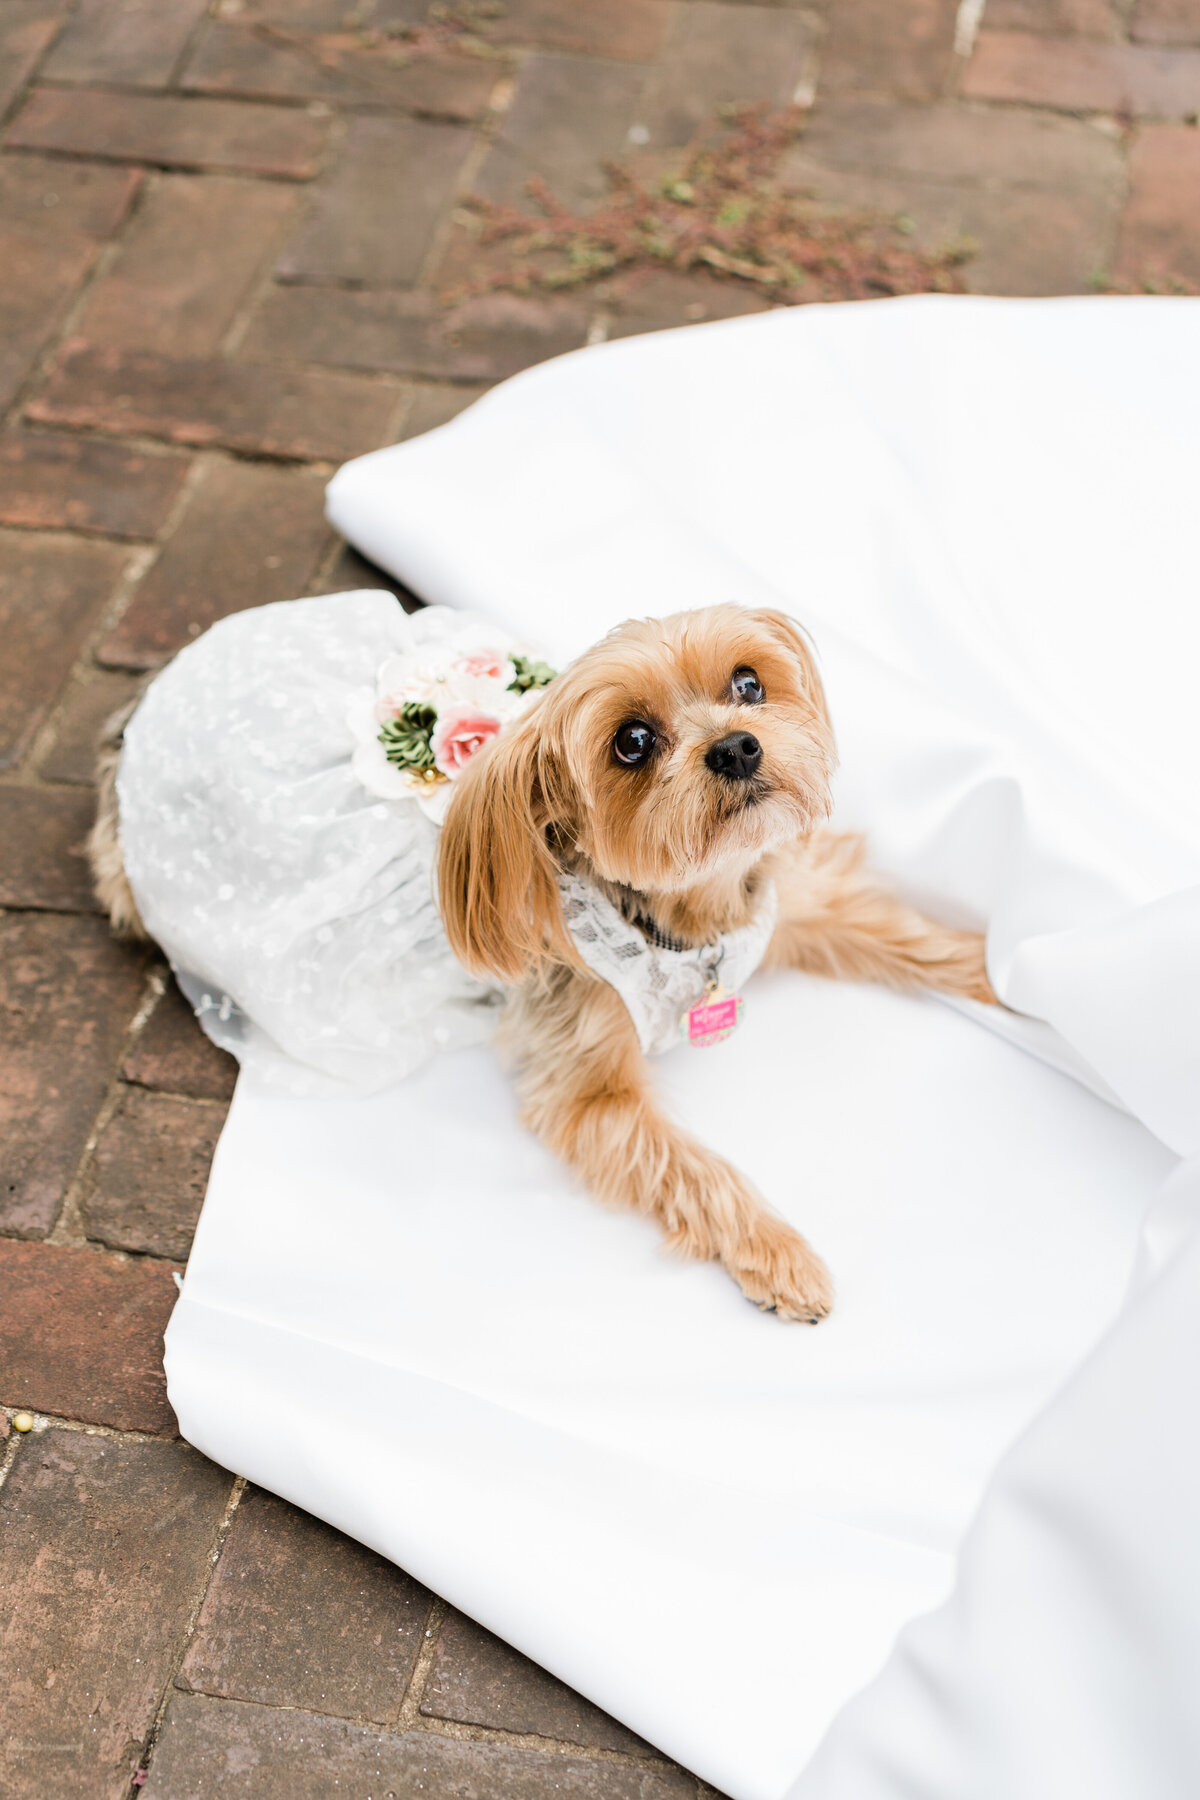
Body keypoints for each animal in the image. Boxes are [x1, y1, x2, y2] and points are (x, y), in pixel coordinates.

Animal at [438, 604, 993, 1324]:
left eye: (749, 683)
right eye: (632, 741)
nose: (735, 747)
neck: (694, 924)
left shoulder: (786, 911)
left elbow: (904, 935)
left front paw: (1021, 979)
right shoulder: (588, 1094)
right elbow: (692, 1168)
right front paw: (778, 1250)